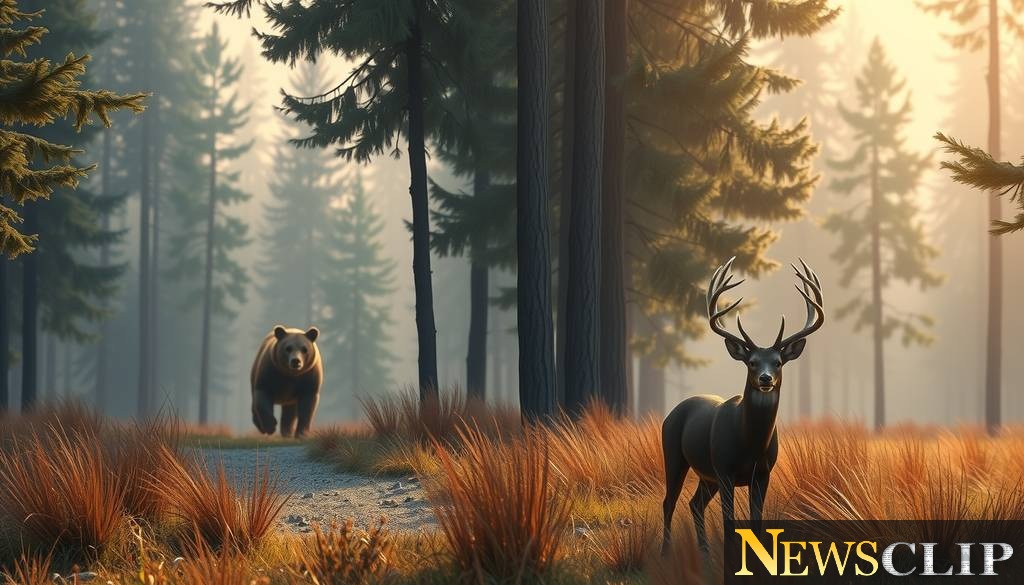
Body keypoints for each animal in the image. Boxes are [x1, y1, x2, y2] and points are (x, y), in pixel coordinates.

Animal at [660, 257, 824, 557]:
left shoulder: (763, 473)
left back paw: (704, 552)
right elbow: (729, 522)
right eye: (752, 362)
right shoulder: (725, 469)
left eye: (778, 362)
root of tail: (672, 413)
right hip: (675, 454)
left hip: (707, 476)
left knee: (694, 504)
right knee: (669, 502)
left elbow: (756, 521)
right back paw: (665, 553)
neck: (750, 443)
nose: (765, 378)